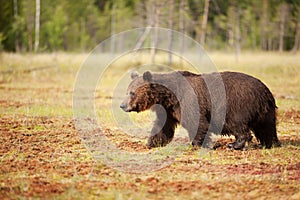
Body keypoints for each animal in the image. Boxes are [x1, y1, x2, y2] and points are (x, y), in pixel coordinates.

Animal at [119, 70, 278, 150]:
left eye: (132, 93)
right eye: (127, 91)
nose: (122, 105)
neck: (168, 96)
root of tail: (265, 91)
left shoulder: (189, 101)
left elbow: (197, 122)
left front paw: (197, 143)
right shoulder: (168, 110)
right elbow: (162, 126)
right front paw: (152, 142)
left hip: (237, 105)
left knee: (238, 125)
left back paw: (235, 145)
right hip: (265, 111)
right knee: (267, 127)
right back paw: (269, 143)